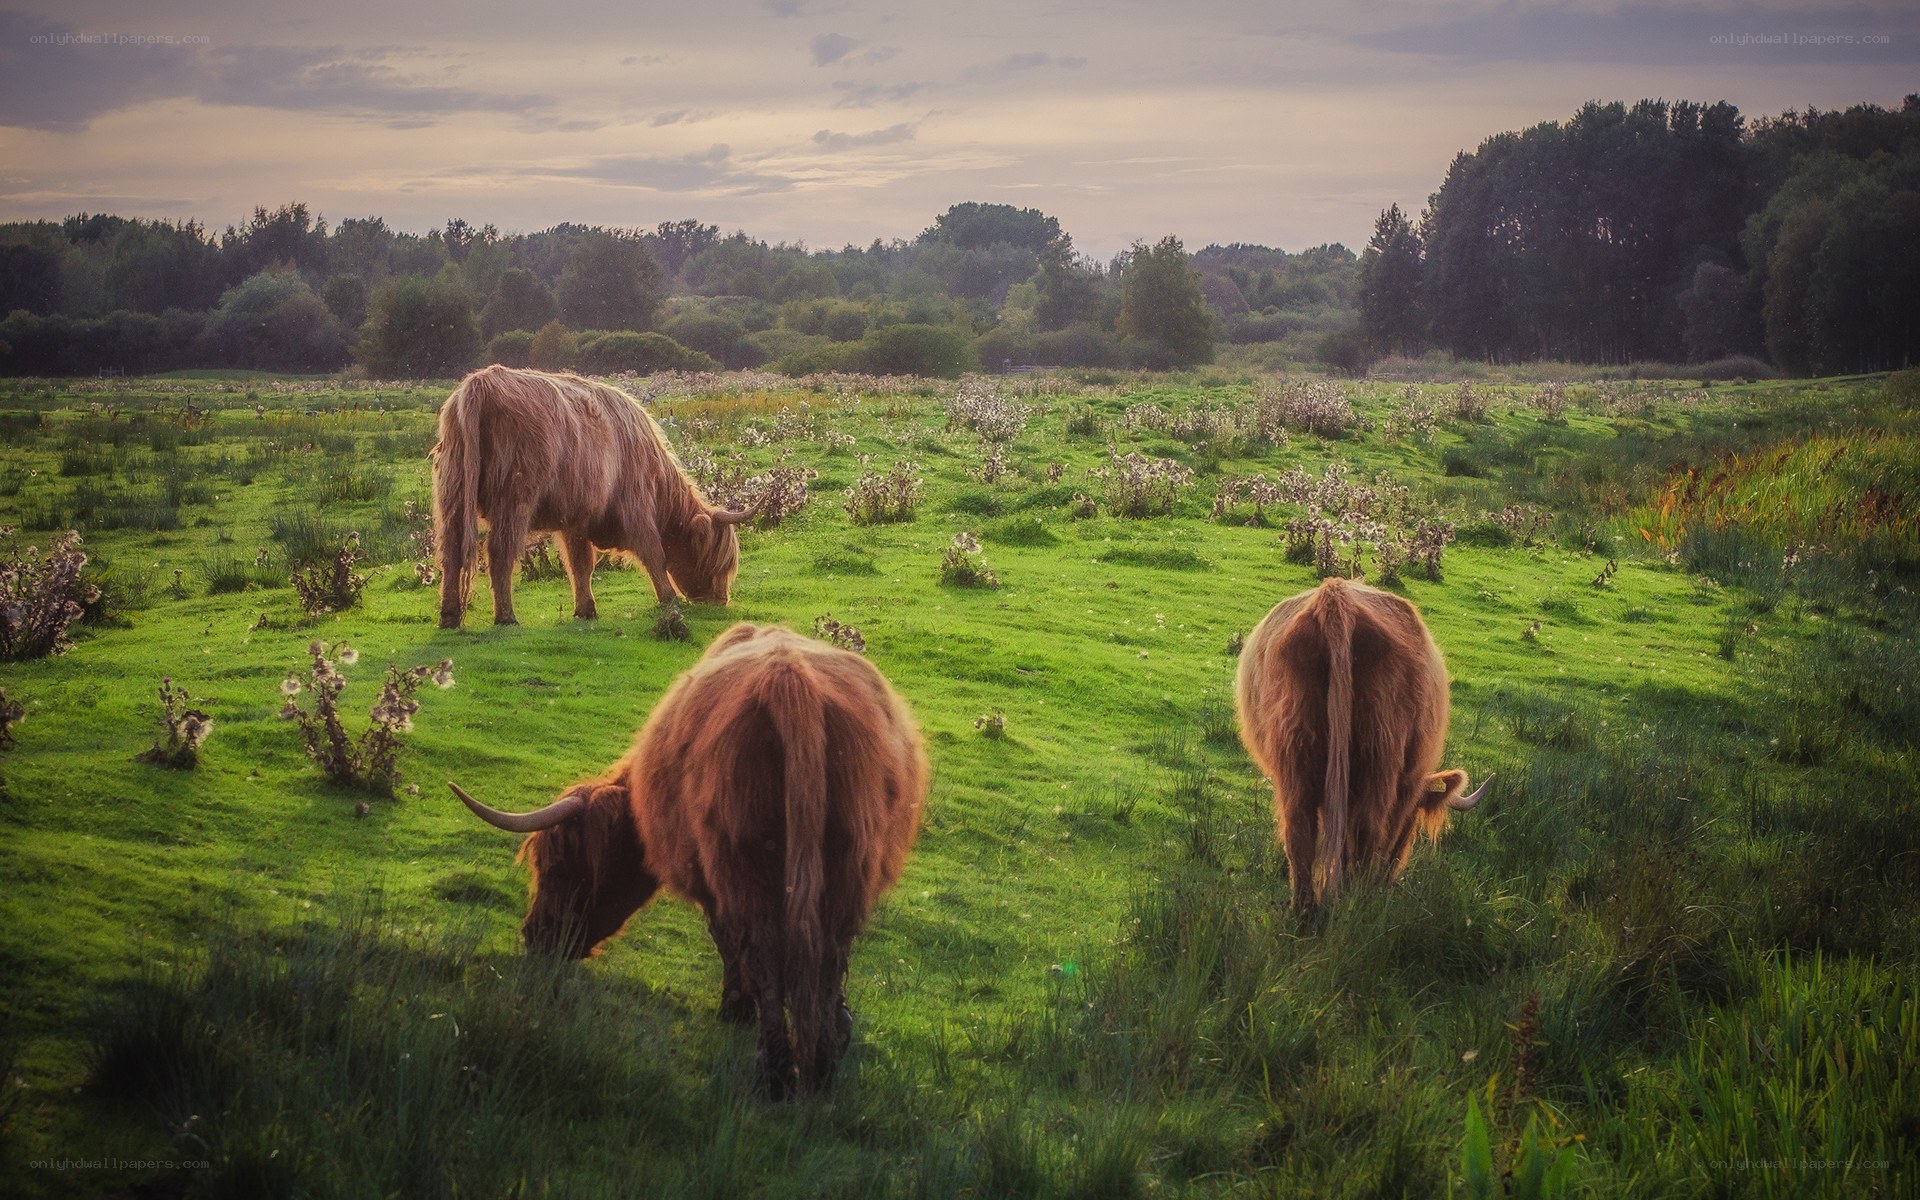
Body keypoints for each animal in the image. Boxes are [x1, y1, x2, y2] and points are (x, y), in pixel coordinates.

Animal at [432, 365, 762, 629]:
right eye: (717, 559)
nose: (720, 600)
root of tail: (480, 383)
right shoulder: (635, 506)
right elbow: (653, 553)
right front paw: (668, 599)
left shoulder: (575, 519)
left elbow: (579, 564)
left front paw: (585, 609)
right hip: (515, 496)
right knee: (500, 550)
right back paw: (506, 617)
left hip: (453, 493)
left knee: (451, 551)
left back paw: (449, 616)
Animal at [449, 622, 929, 1098]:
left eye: (559, 868)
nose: (534, 935)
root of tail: (789, 682)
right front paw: (841, 1026)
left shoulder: (710, 882)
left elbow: (728, 941)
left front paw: (736, 1008)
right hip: (848, 863)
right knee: (829, 951)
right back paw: (823, 1066)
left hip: (739, 862)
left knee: (764, 948)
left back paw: (772, 1072)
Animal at [1234, 577, 1491, 915]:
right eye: (1413, 823)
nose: (1390, 878)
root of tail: (1334, 594)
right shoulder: (1406, 785)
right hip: (1381, 750)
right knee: (1368, 825)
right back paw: (1359, 900)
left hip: (1295, 752)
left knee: (1299, 827)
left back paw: (1306, 910)